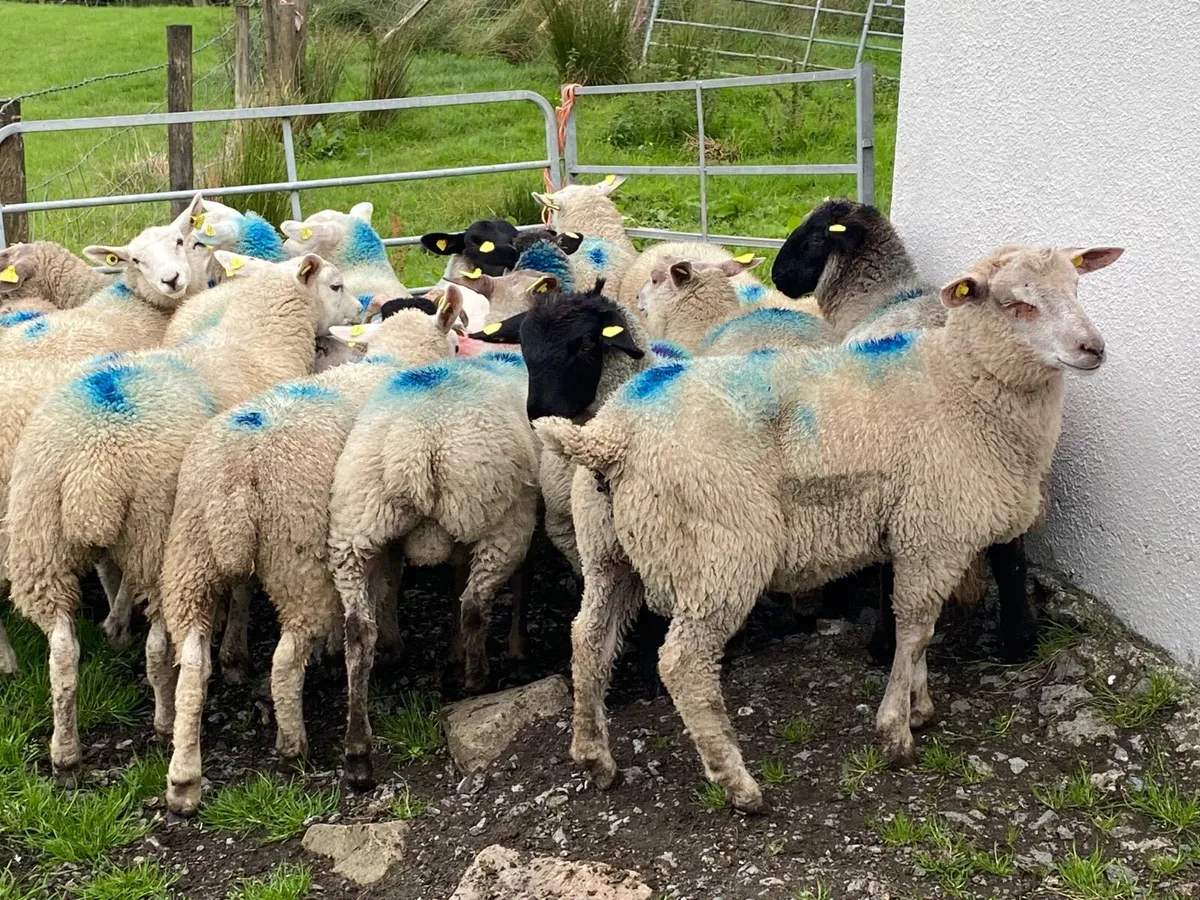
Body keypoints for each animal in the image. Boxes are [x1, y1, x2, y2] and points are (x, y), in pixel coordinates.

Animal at [4, 250, 359, 781]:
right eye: (336, 285)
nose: (360, 310)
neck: (258, 343)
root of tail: (89, 464)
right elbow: (241, 589)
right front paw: (233, 654)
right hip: (153, 533)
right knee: (157, 645)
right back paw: (166, 719)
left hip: (38, 539)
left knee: (62, 651)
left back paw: (65, 750)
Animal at [161, 290, 465, 815]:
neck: (394, 363)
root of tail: (236, 479)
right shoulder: (372, 528)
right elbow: (387, 585)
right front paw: (389, 643)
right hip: (296, 559)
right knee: (285, 660)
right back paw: (292, 745)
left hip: (189, 558)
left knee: (194, 666)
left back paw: (183, 781)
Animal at [328, 344, 540, 786]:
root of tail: (415, 445)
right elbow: (516, 583)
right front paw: (515, 654)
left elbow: (453, 584)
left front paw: (453, 657)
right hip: (501, 517)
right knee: (476, 604)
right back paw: (477, 680)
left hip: (356, 525)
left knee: (358, 632)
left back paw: (357, 753)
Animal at [534, 243, 1119, 811]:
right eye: (1015, 303)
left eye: (1076, 286)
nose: (1094, 349)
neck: (960, 386)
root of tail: (610, 437)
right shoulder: (934, 532)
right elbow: (916, 628)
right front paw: (897, 730)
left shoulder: (921, 536)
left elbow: (921, 629)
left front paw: (919, 705)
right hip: (718, 554)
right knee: (683, 664)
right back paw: (737, 783)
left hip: (608, 551)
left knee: (587, 639)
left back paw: (594, 757)